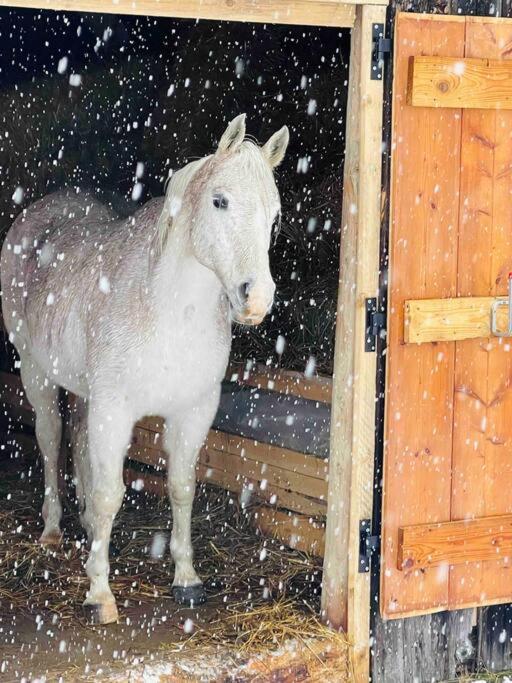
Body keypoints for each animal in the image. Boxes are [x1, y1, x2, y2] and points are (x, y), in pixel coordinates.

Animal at [0, 116, 288, 624]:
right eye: (220, 200)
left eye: (273, 216)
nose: (256, 298)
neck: (167, 310)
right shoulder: (114, 411)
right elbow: (109, 493)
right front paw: (98, 593)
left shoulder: (193, 411)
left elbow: (180, 487)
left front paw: (187, 579)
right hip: (37, 374)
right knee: (51, 440)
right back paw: (53, 529)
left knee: (77, 438)